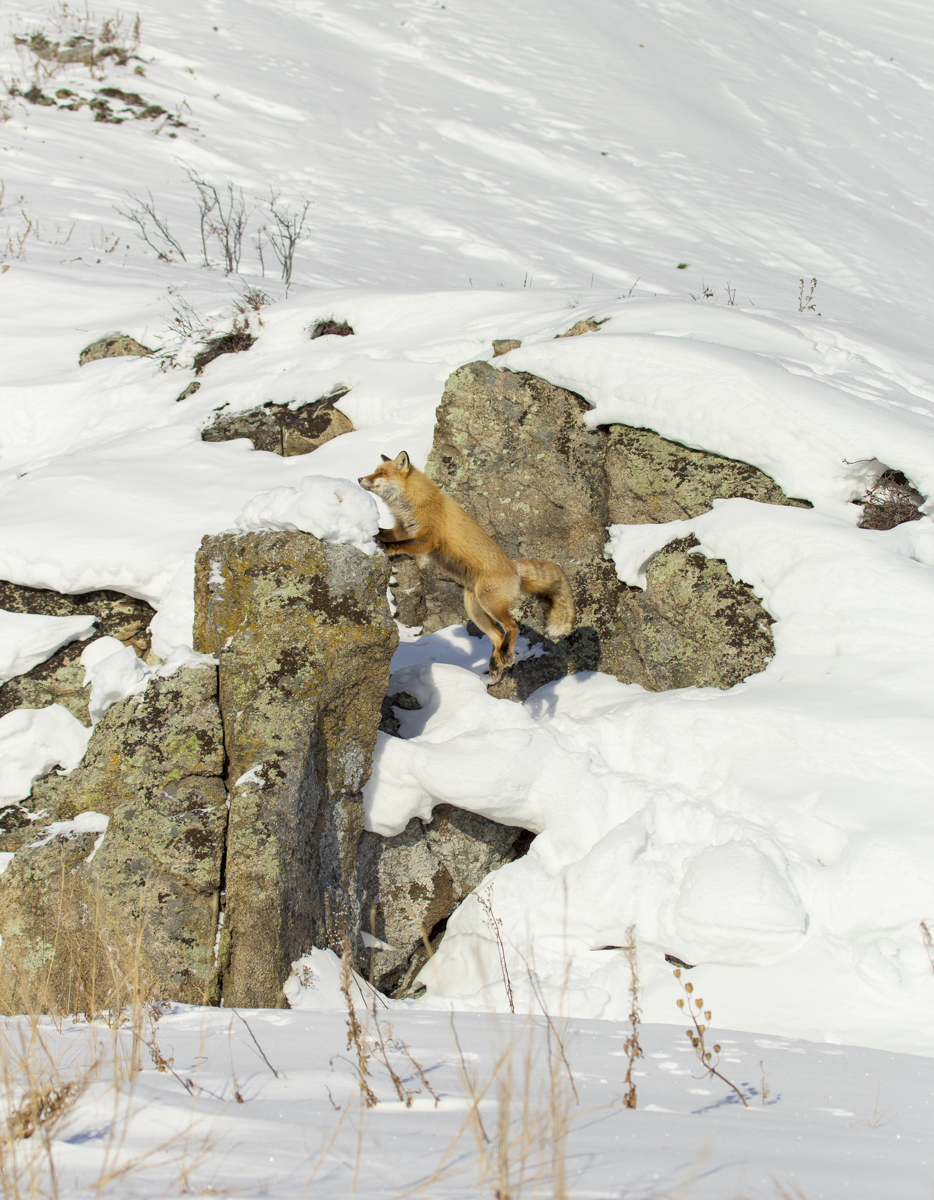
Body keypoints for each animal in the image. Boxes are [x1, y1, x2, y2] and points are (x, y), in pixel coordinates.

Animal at [357, 448, 571, 681]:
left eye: (380, 474)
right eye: (375, 471)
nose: (359, 478)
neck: (417, 503)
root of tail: (514, 568)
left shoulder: (426, 540)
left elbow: (398, 545)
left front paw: (385, 548)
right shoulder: (401, 530)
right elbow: (383, 532)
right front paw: (368, 532)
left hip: (489, 603)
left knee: (511, 627)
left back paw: (506, 656)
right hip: (474, 609)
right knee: (497, 636)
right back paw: (495, 666)